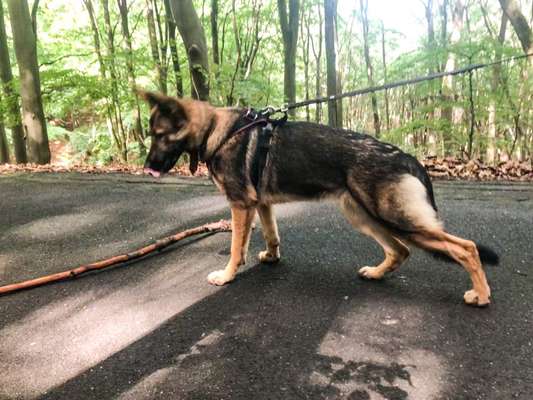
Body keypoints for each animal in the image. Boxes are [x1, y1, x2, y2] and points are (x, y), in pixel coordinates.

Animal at [139, 91, 496, 306]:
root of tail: (409, 157)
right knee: (401, 251)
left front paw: (227, 275)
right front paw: (271, 257)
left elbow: (235, 247)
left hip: (395, 218)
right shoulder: (261, 205)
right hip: (364, 216)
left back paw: (481, 295)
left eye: (160, 135)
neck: (218, 129)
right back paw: (376, 273)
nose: (147, 167)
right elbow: (271, 235)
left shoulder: (240, 206)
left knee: (466, 248)